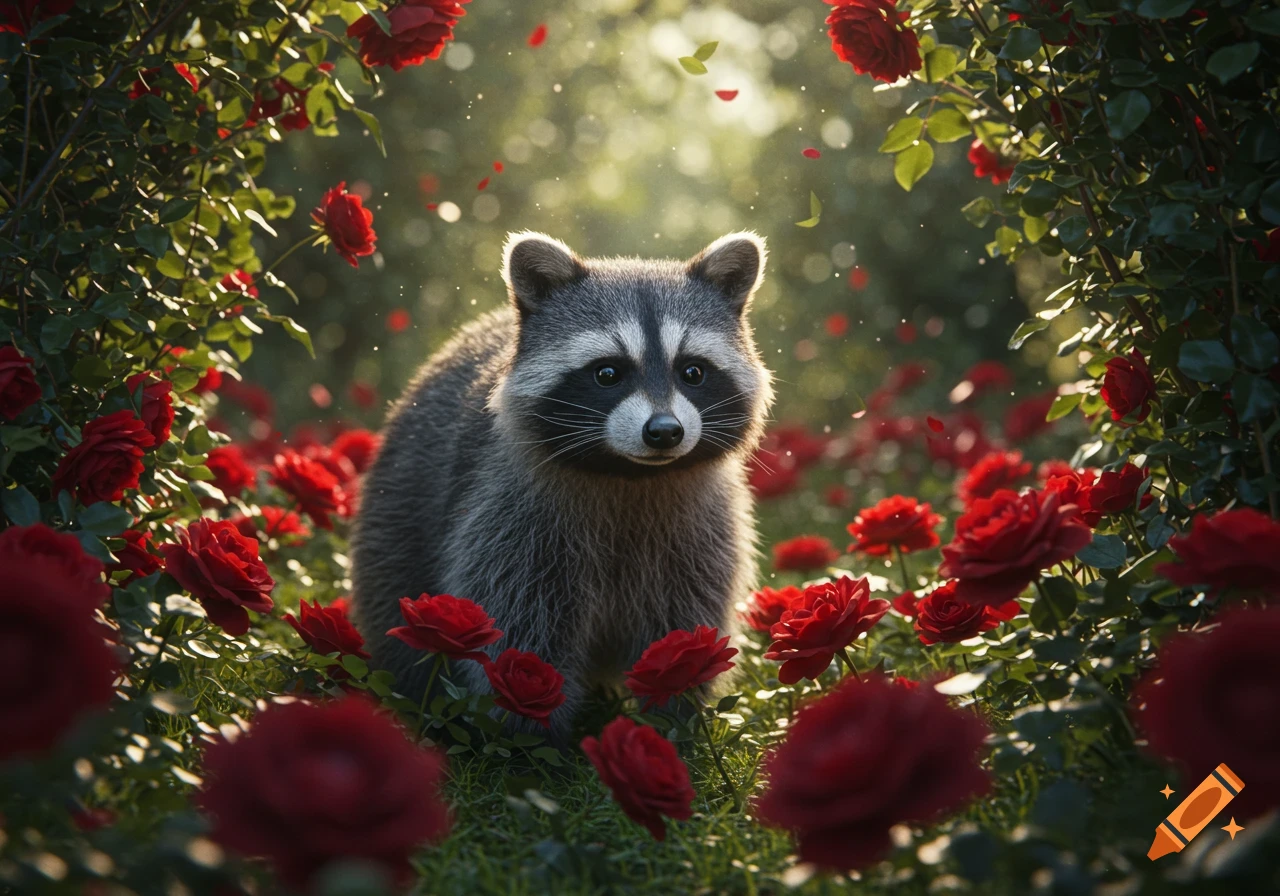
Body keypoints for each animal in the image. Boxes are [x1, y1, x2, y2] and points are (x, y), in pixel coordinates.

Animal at [349, 231, 774, 740]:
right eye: (608, 372)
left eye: (692, 371)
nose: (665, 431)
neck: (631, 475)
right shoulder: (511, 516)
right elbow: (520, 631)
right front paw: (530, 735)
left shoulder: (701, 530)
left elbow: (685, 624)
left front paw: (675, 718)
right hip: (397, 503)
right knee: (398, 607)